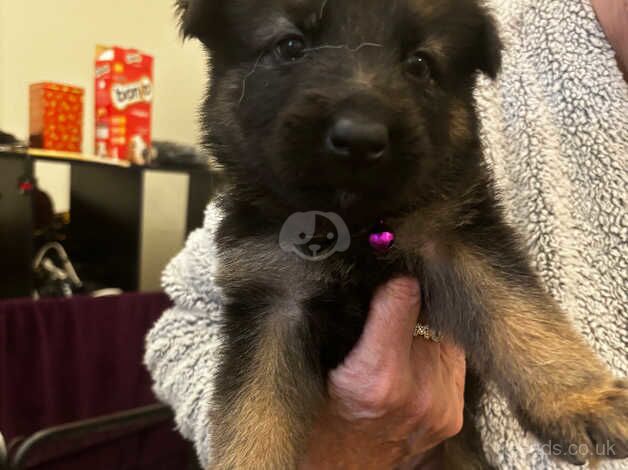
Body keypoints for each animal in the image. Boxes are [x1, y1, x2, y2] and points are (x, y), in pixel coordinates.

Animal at [175, 1, 628, 468]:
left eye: (419, 63)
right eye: (290, 45)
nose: (359, 138)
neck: (352, 224)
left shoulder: (456, 237)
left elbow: (517, 309)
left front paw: (579, 398)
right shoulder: (274, 301)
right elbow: (253, 412)